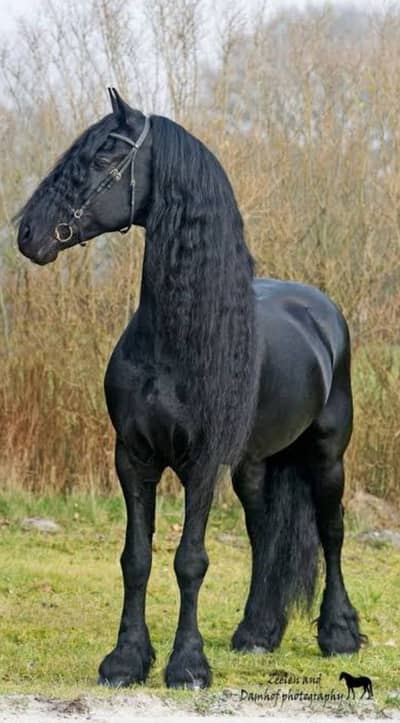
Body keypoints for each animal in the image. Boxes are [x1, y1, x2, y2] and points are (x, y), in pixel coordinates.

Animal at [16, 88, 364, 689]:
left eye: (106, 155)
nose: (27, 234)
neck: (175, 343)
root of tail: (320, 309)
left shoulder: (201, 464)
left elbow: (190, 560)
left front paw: (187, 666)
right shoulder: (133, 457)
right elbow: (136, 558)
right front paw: (126, 659)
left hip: (326, 455)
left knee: (332, 529)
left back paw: (339, 634)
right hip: (253, 465)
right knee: (264, 534)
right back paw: (256, 633)